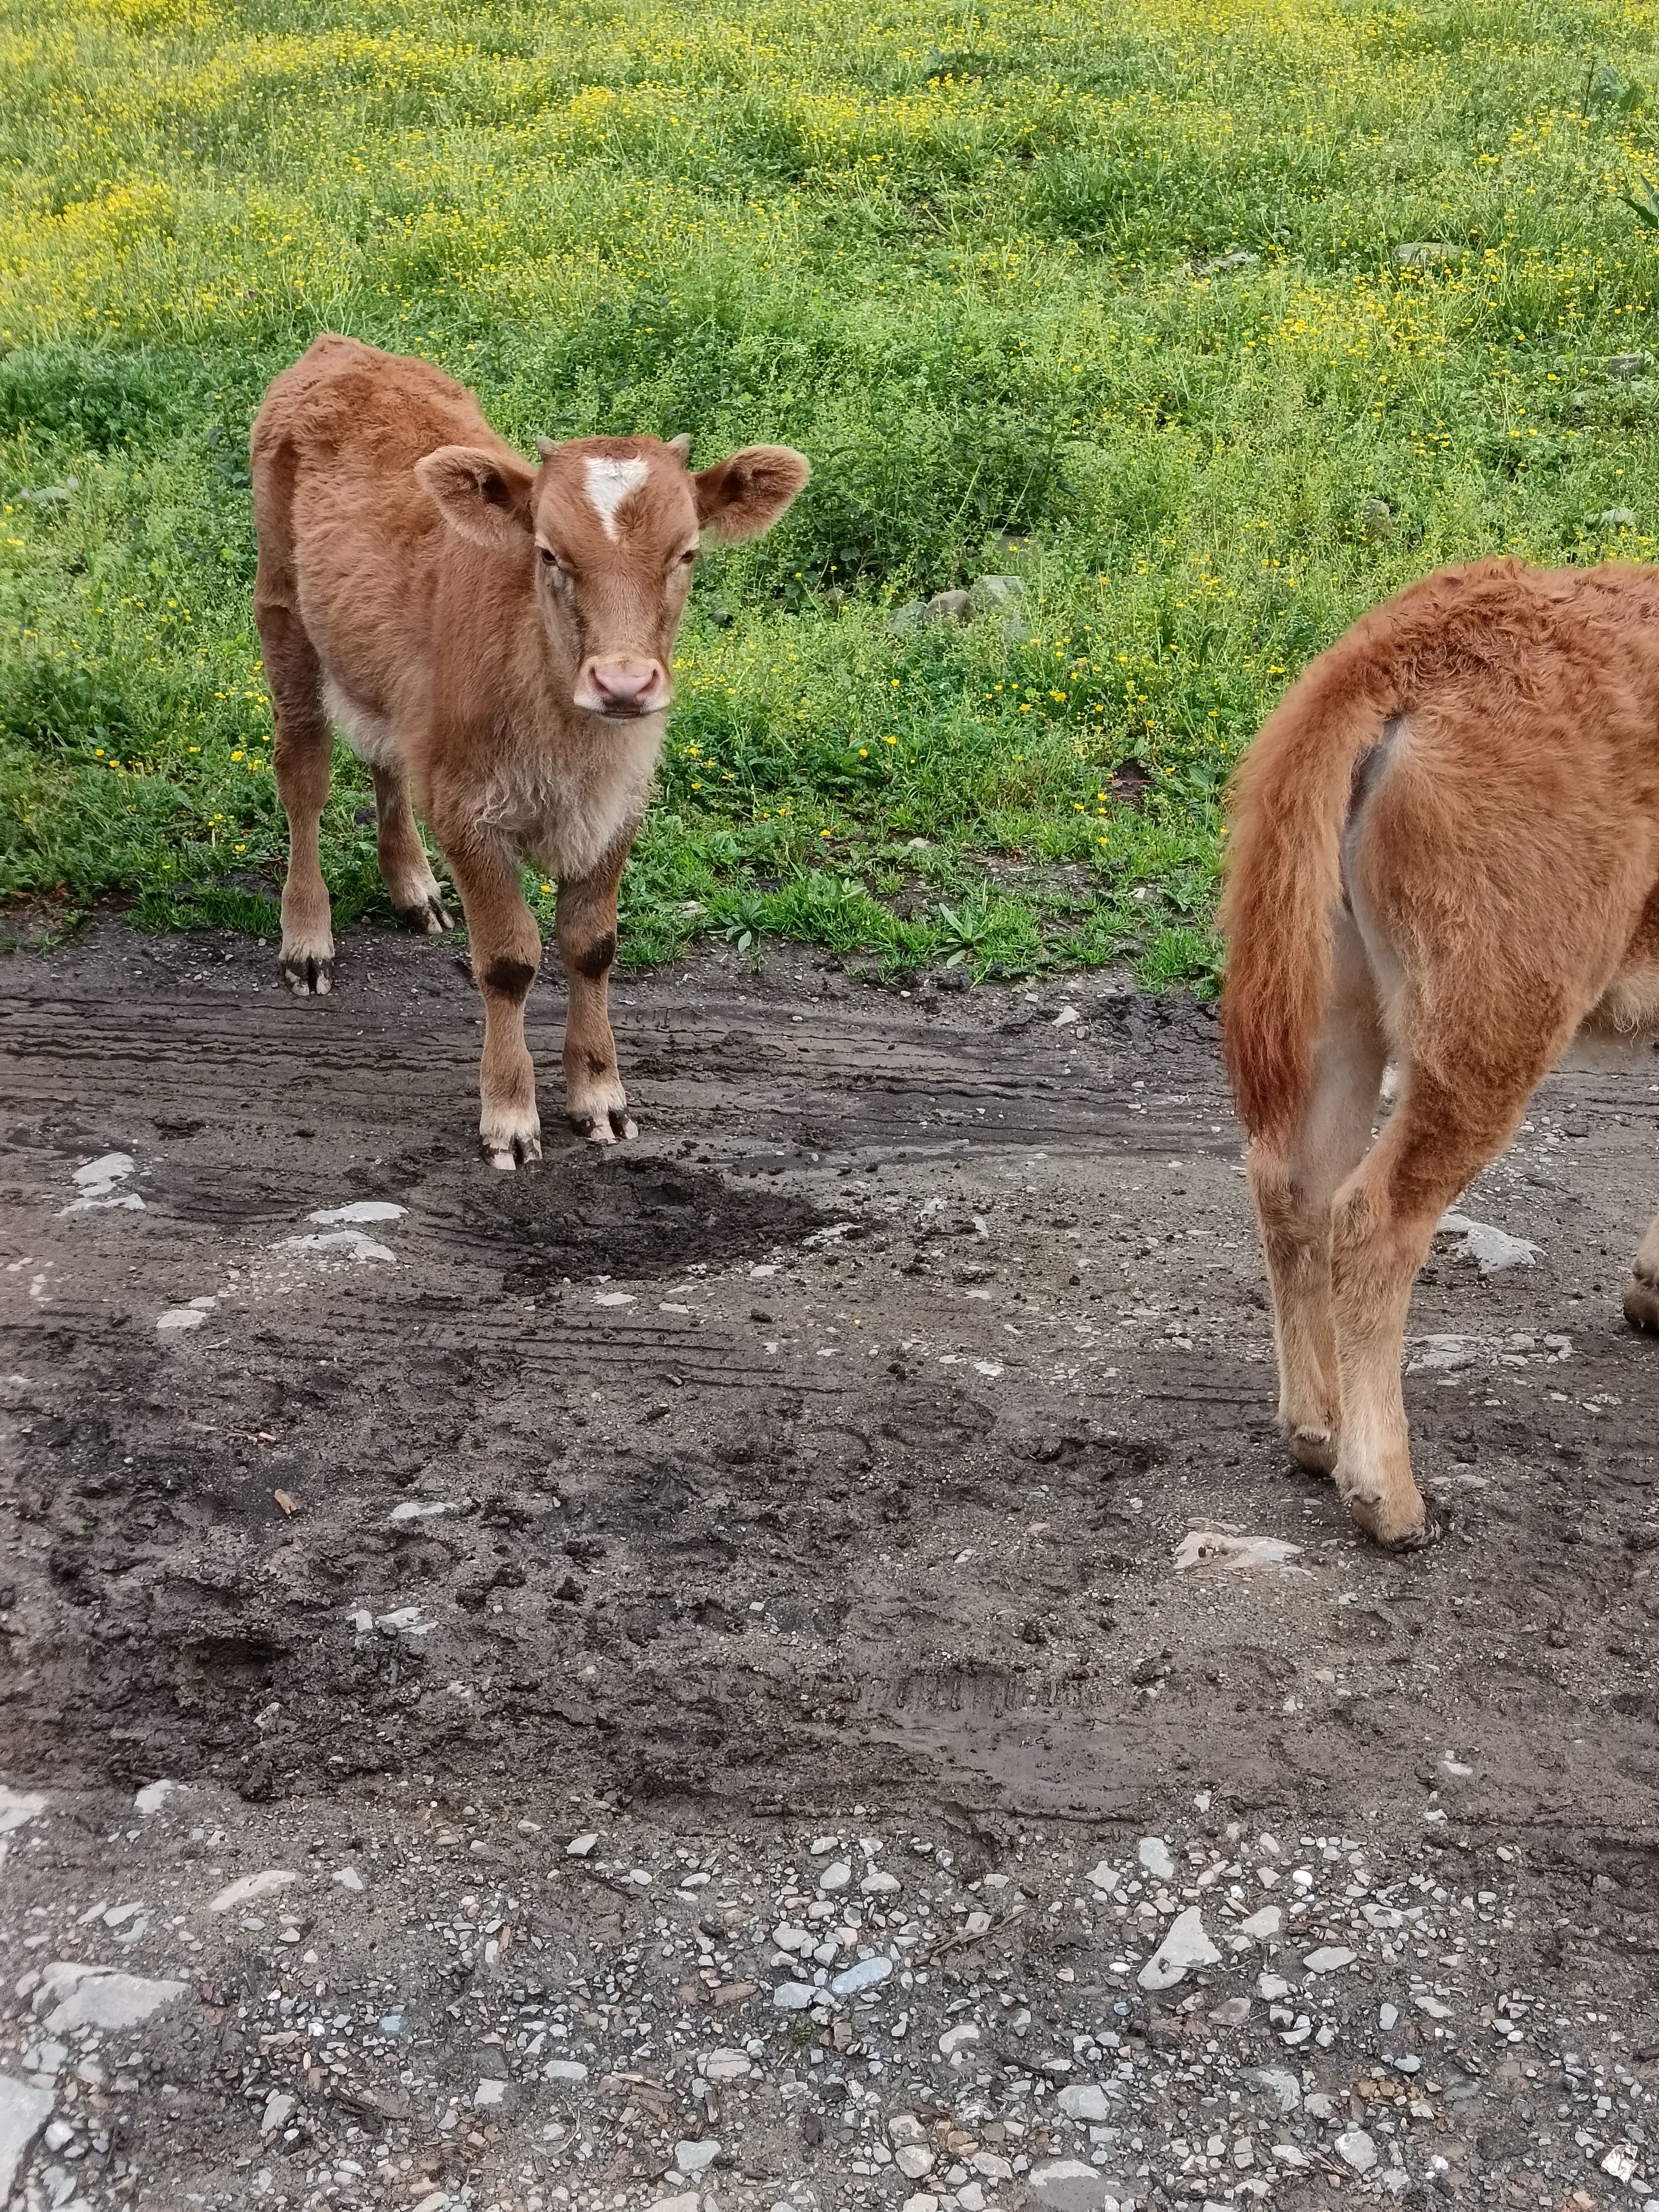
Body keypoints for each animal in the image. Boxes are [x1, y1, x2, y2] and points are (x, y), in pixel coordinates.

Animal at [252, 336, 814, 1168]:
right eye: (549, 554)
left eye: (685, 554)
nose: (624, 682)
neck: (573, 744)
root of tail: (338, 347)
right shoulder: (467, 810)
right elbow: (510, 961)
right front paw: (510, 1116)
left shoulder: (619, 810)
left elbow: (592, 946)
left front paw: (601, 1096)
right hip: (282, 609)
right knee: (304, 777)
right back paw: (308, 940)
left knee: (386, 757)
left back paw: (413, 886)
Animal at [1221, 562, 1659, 1548]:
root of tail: (1405, 647)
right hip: (1490, 1031)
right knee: (1373, 1215)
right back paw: (1388, 1495)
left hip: (1335, 1004)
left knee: (1291, 1182)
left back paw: (1317, 1430)